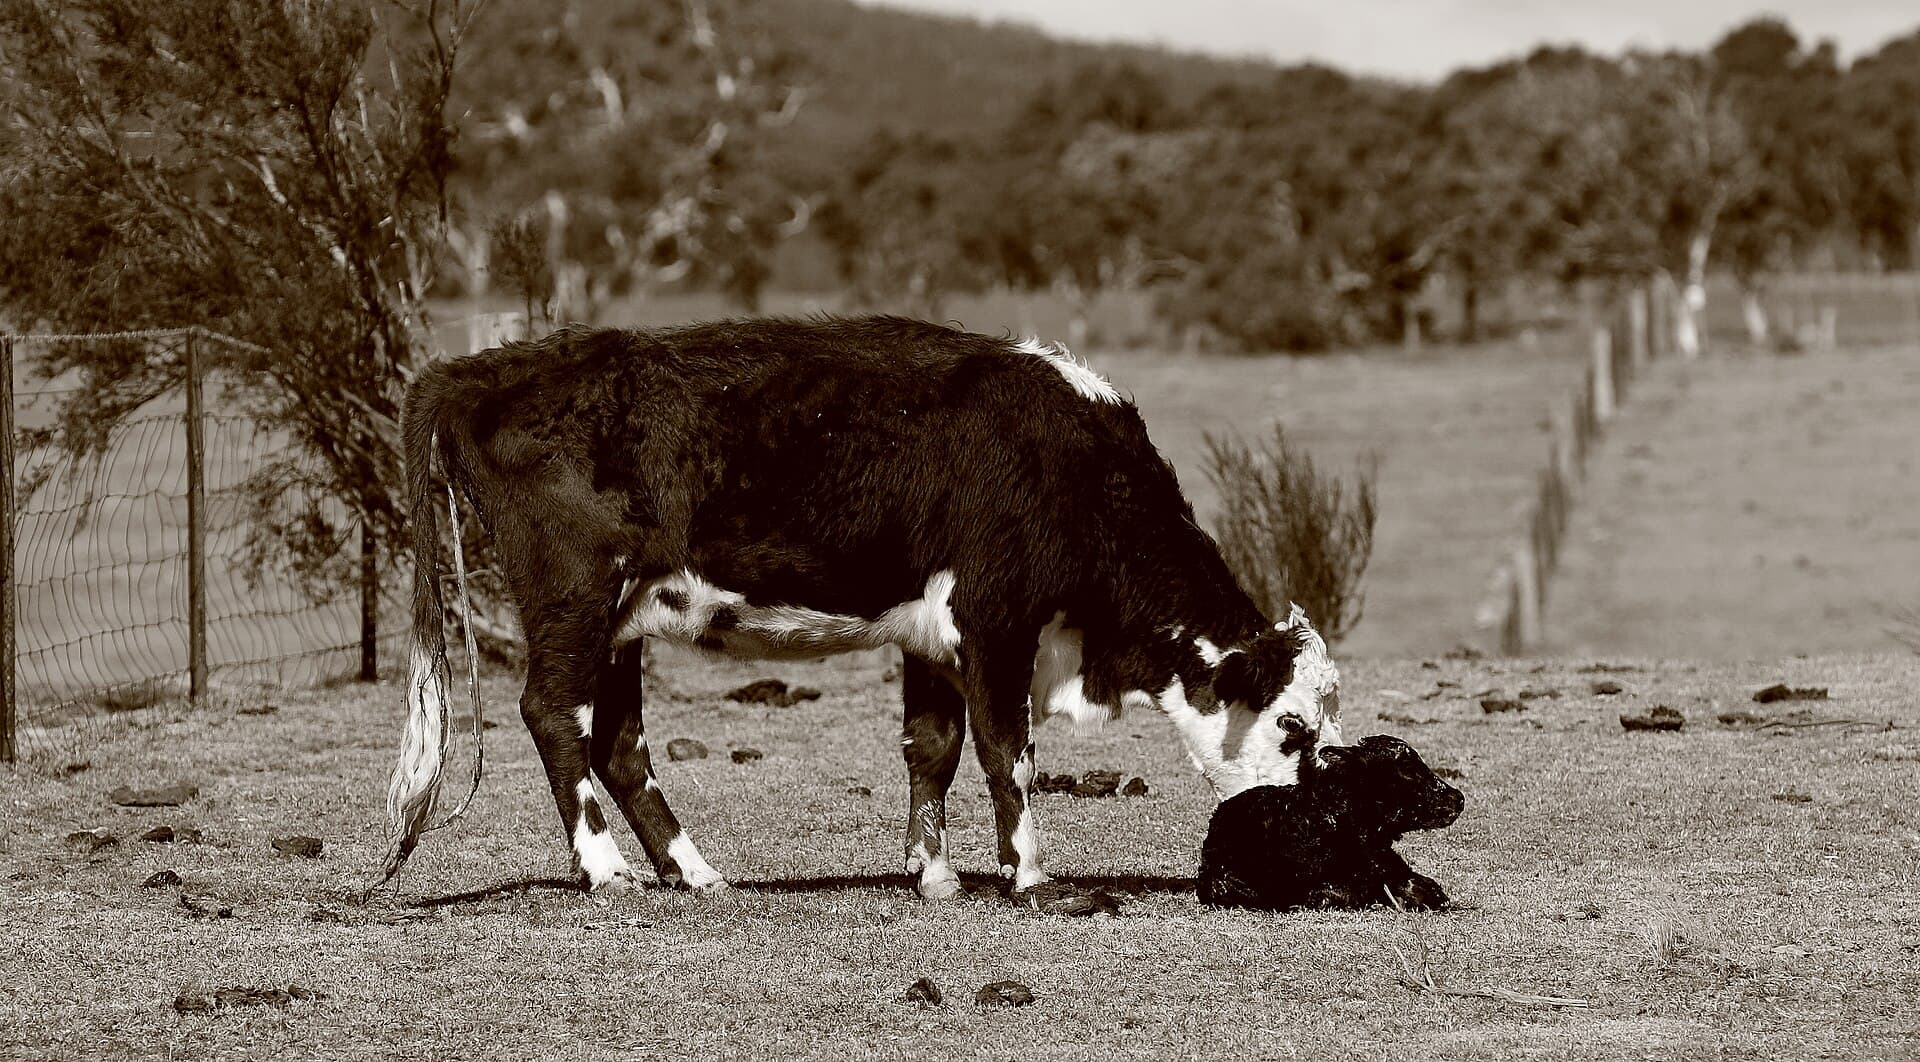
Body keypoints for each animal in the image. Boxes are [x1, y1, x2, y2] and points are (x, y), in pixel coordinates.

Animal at [379, 315, 1344, 901]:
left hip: (621, 621)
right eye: (1292, 726)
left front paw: (935, 874)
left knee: (617, 745)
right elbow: (1009, 752)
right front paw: (1030, 875)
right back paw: (606, 867)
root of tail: (488, 368)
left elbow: (934, 747)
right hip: (576, 600)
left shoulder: (931, 632)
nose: (1315, 825)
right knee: (553, 715)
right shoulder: (996, 621)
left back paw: (697, 872)